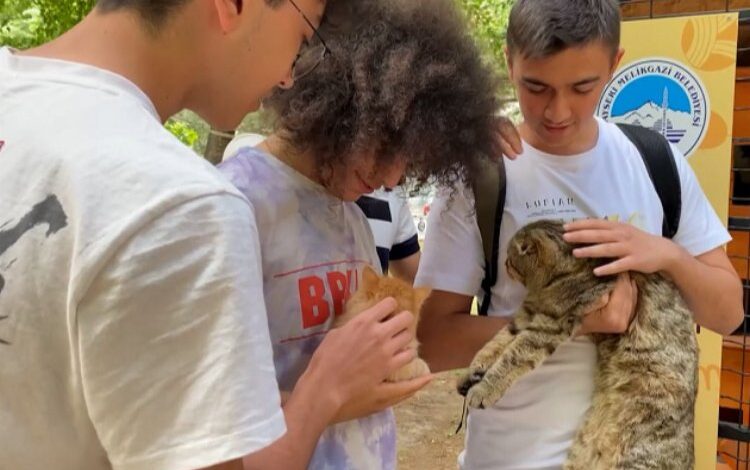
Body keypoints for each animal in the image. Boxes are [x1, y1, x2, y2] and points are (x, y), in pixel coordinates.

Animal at [458, 220, 700, 470]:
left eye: (509, 257)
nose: (504, 264)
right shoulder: (525, 316)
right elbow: (495, 343)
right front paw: (473, 371)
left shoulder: (546, 327)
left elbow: (510, 358)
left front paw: (483, 388)